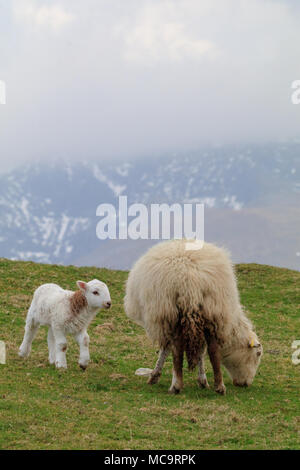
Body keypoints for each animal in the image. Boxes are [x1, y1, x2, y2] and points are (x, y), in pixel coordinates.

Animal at [124, 241, 262, 394]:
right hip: (212, 309)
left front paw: (154, 376)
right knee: (212, 349)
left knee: (177, 349)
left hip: (170, 311)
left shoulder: (162, 320)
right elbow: (200, 351)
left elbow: (166, 349)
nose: (246, 384)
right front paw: (202, 381)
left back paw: (176, 385)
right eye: (258, 354)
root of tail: (190, 279)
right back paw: (219, 386)